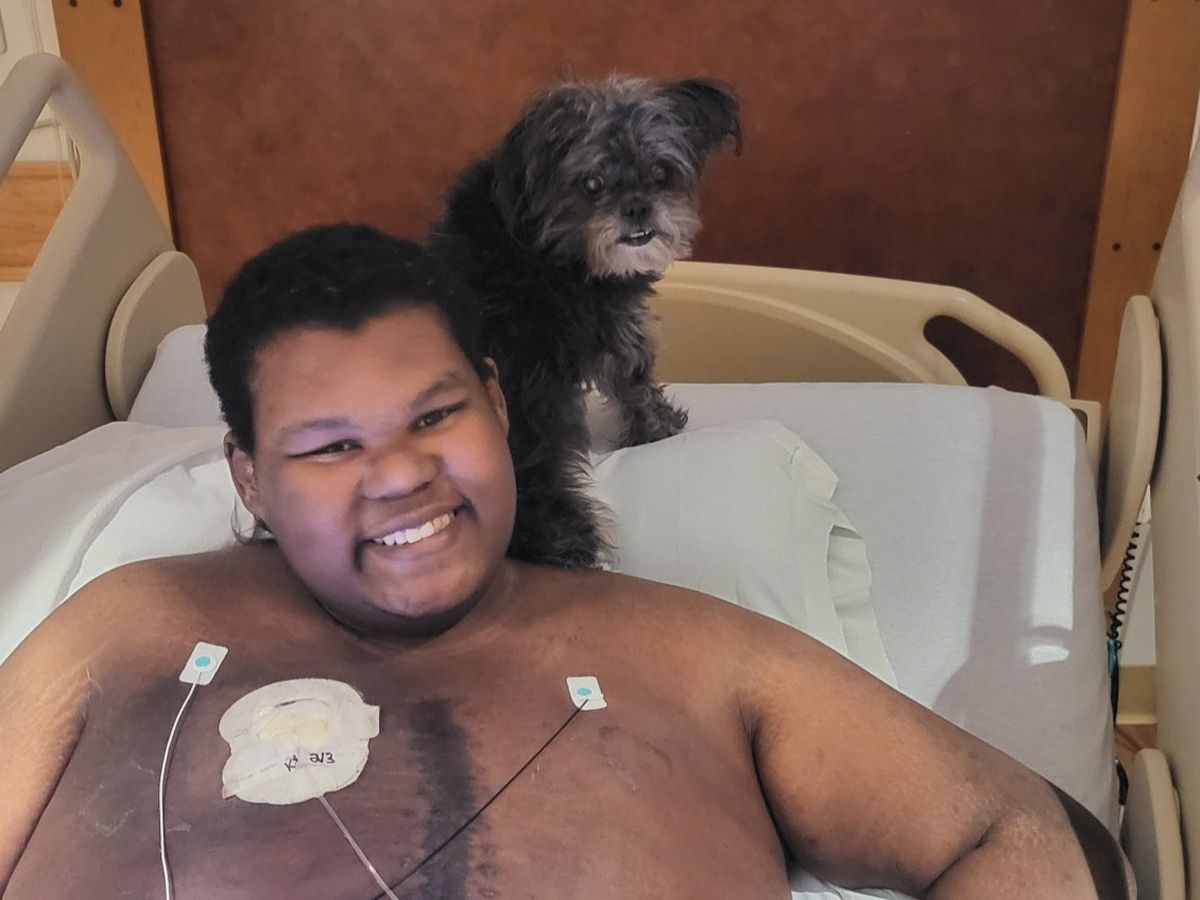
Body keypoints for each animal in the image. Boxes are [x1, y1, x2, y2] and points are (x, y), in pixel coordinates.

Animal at [430, 75, 740, 569]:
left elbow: (633, 376)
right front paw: (656, 428)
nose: (637, 208)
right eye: (592, 183)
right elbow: (633, 374)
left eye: (660, 173)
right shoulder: (604, 331)